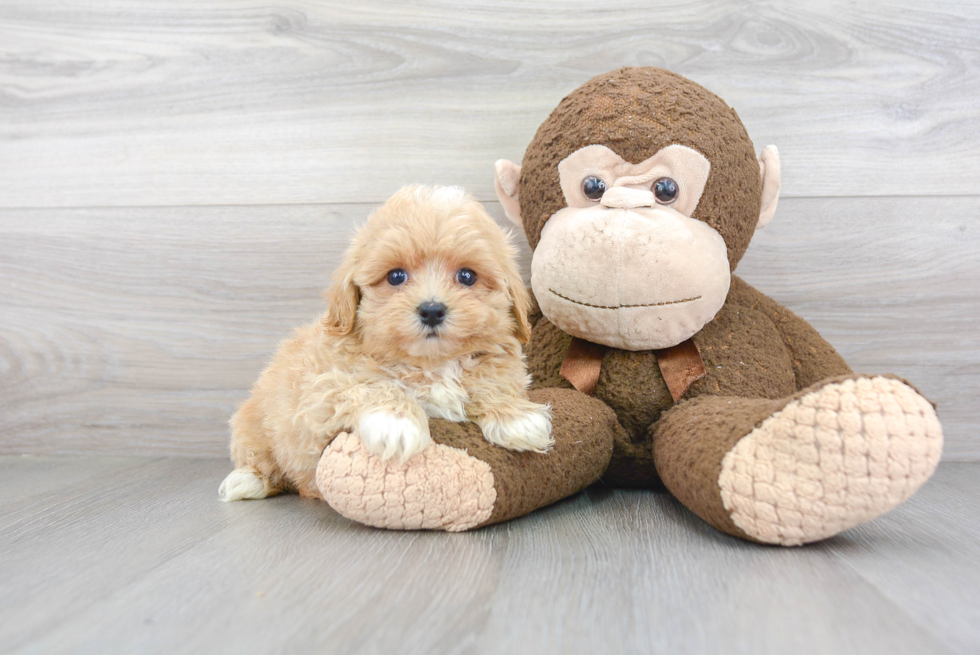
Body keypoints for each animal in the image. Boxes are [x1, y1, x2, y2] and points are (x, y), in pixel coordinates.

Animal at [220, 184, 552, 502]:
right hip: (253, 427)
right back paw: (246, 481)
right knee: (261, 461)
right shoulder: (320, 393)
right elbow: (371, 386)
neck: (431, 363)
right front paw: (396, 421)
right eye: (396, 276)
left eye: (467, 276)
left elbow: (493, 384)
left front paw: (516, 416)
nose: (432, 310)